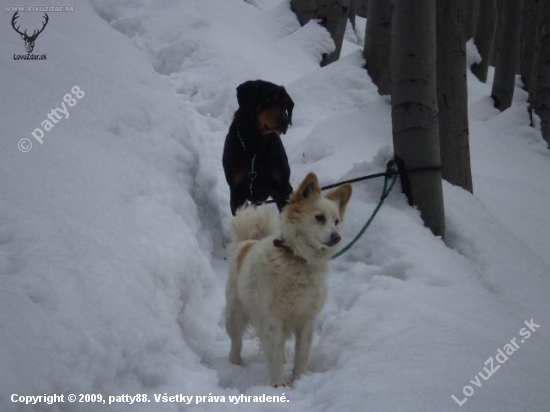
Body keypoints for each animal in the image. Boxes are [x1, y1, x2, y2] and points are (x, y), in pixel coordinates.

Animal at [224, 80, 296, 216]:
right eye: (268, 98)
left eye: (285, 104)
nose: (285, 120)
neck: (255, 149)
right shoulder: (237, 194)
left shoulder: (283, 188)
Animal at [224, 173, 354, 386]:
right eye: (319, 218)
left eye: (336, 221)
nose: (337, 237)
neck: (299, 259)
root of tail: (247, 242)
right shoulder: (272, 319)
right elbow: (274, 352)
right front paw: (278, 383)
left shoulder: (307, 319)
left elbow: (301, 353)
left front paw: (300, 378)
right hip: (235, 314)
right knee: (236, 341)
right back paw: (235, 363)